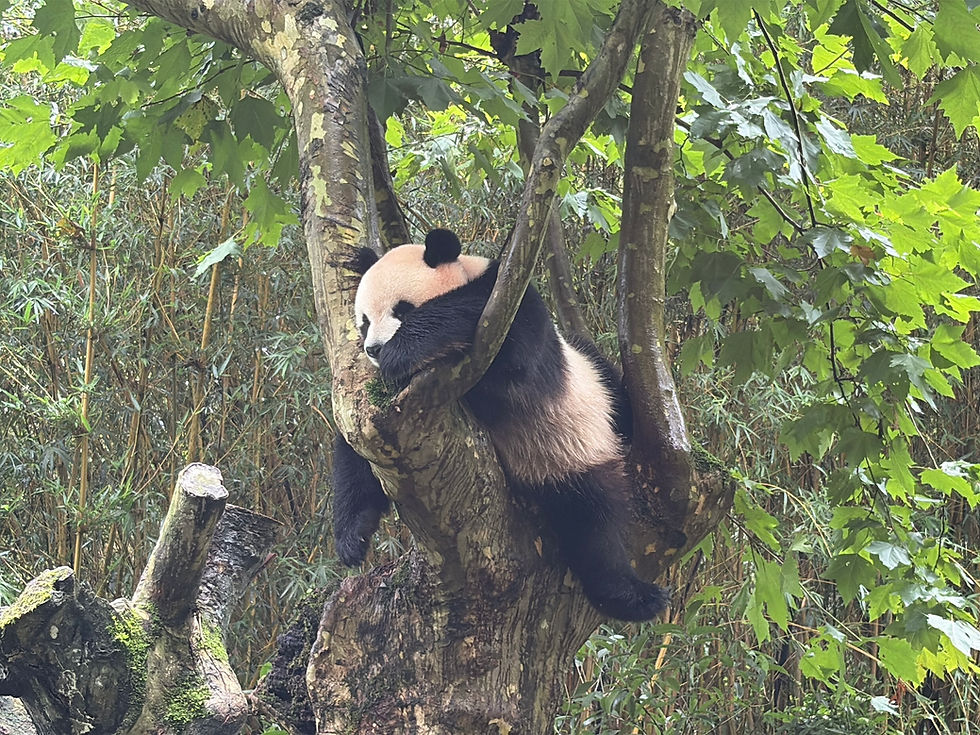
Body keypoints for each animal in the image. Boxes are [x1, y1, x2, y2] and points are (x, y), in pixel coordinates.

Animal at [332, 228, 669, 622]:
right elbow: (357, 454)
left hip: (577, 444)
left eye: (403, 309)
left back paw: (635, 595)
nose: (374, 348)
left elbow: (506, 345)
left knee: (595, 521)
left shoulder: (510, 304)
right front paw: (352, 539)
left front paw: (402, 351)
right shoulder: (376, 415)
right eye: (364, 321)